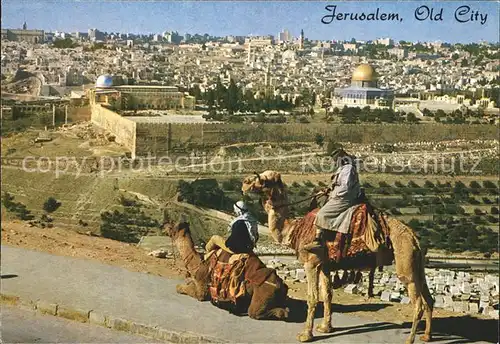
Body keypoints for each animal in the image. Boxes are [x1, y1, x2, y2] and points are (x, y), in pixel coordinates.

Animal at [242, 171, 434, 344]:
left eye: (266, 179)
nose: (245, 183)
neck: (294, 229)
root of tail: (413, 237)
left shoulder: (311, 263)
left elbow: (313, 297)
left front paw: (306, 335)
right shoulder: (325, 266)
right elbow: (327, 295)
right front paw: (325, 327)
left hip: (405, 261)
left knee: (418, 303)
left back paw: (409, 339)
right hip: (417, 264)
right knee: (428, 298)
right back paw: (426, 336)